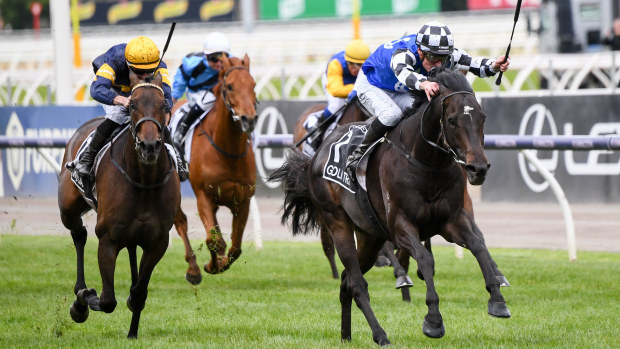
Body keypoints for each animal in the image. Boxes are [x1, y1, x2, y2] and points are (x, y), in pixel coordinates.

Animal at [58, 72, 180, 338]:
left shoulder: (158, 241)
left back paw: (132, 330)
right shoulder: (108, 239)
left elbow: (139, 292)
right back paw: (80, 292)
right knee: (79, 234)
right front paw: (83, 300)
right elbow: (107, 300)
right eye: (132, 105)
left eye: (163, 105)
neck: (143, 180)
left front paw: (133, 319)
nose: (149, 146)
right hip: (68, 208)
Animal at [268, 66, 512, 344]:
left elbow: (477, 244)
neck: (426, 163)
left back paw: (346, 335)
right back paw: (380, 335)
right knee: (356, 283)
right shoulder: (401, 226)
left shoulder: (452, 220)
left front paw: (498, 300)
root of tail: (315, 158)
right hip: (338, 222)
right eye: (452, 120)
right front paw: (433, 320)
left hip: (369, 236)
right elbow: (426, 259)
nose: (478, 168)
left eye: (482, 117)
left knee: (346, 280)